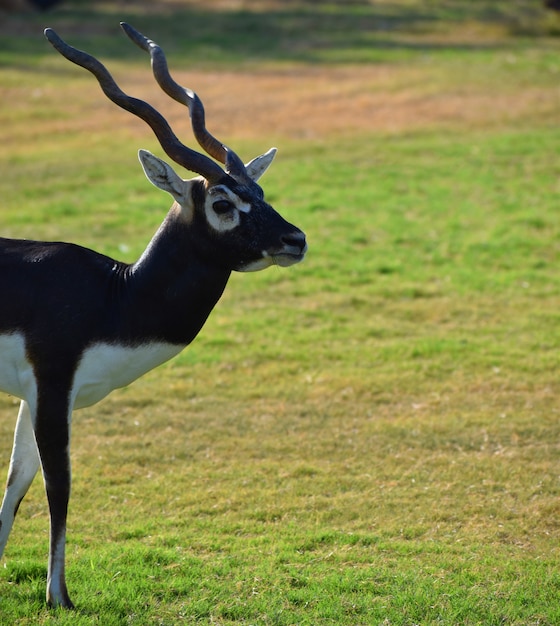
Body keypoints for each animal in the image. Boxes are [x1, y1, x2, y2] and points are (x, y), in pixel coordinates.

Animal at [0, 23, 306, 604]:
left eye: (260, 190)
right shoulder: (53, 389)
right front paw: (59, 597)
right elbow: (58, 487)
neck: (114, 297)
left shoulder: (31, 396)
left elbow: (15, 484)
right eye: (223, 203)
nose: (295, 239)